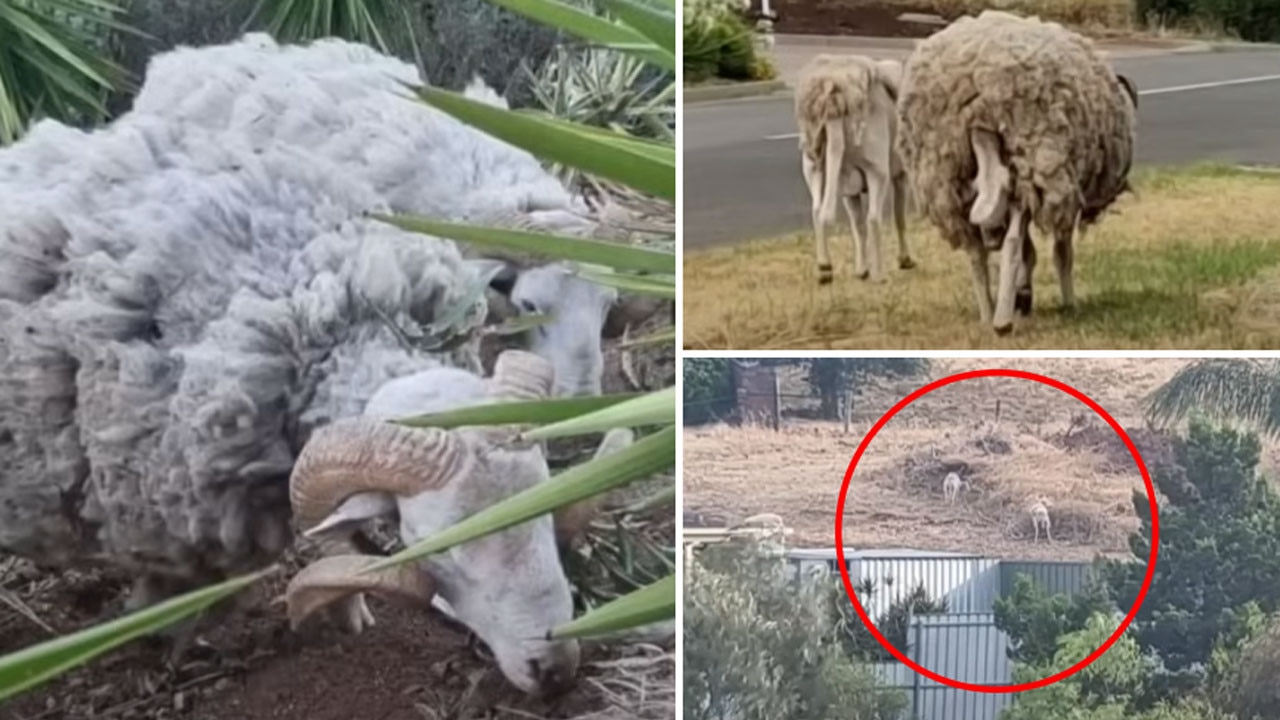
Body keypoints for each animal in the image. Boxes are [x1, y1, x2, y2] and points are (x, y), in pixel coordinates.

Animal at [890, 9, 1141, 333]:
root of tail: (979, 99)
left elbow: (1029, 251)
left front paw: (1024, 295)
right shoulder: (1061, 191)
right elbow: (1060, 252)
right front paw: (1067, 303)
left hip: (946, 178)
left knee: (976, 250)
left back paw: (988, 312)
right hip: (1029, 162)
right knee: (1009, 242)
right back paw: (1002, 322)